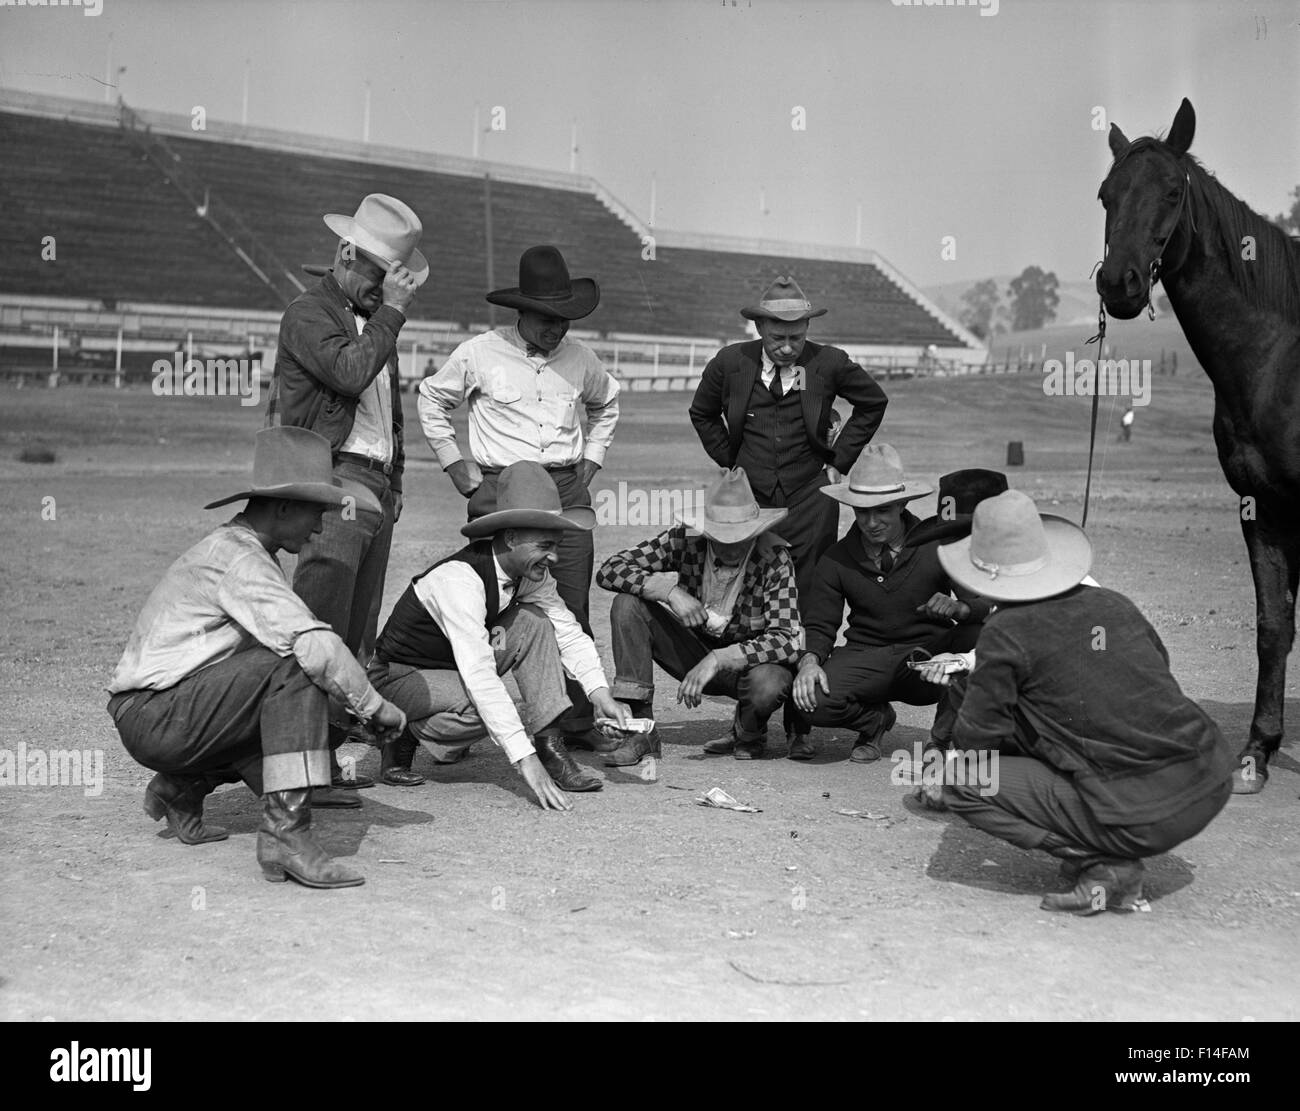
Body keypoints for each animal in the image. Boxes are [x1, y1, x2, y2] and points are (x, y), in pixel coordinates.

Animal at [1097, 95, 1300, 790]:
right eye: (1105, 195)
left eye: (1171, 190)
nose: (1118, 284)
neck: (1278, 360)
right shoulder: (1262, 508)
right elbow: (1273, 626)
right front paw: (1258, 752)